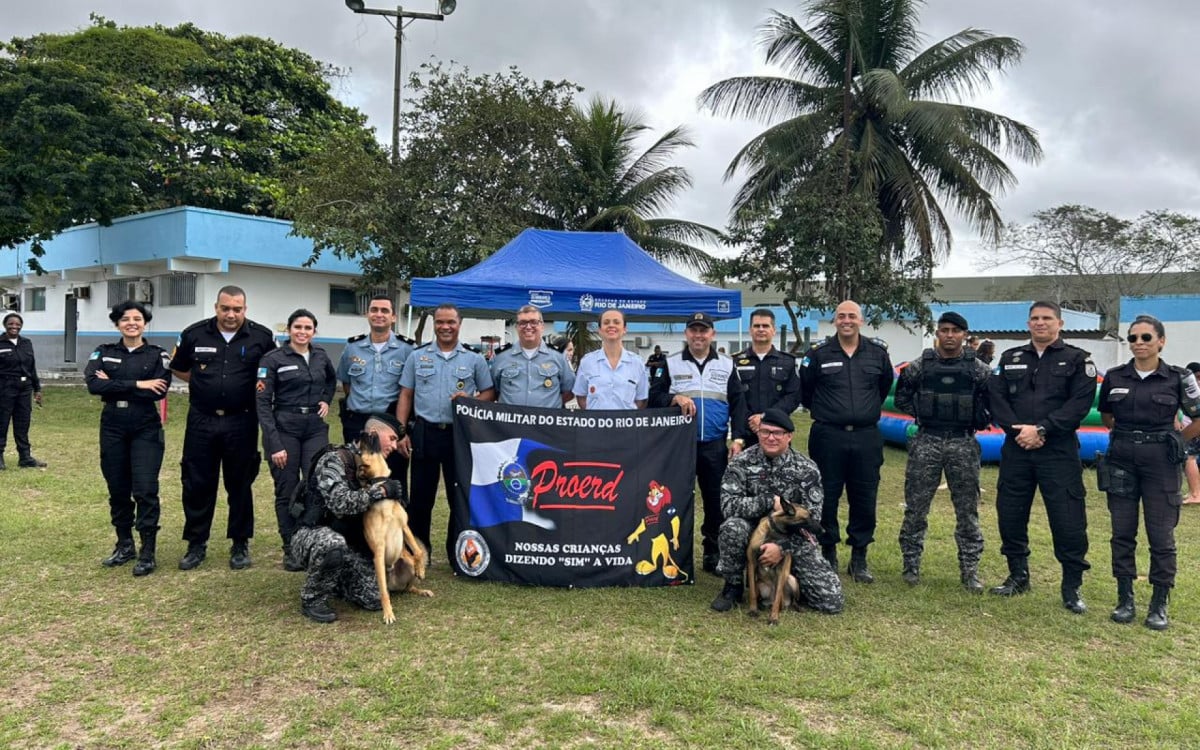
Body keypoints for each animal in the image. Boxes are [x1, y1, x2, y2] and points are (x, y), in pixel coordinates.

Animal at [357, 429, 434, 624]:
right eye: (360, 451)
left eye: (361, 445)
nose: (363, 431)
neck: (384, 496)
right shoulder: (378, 549)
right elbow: (383, 593)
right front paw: (388, 614)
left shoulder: (404, 527)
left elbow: (418, 551)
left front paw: (421, 569)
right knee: (387, 590)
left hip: (404, 562)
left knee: (409, 585)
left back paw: (421, 589)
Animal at [744, 496, 811, 624]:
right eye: (808, 518)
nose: (823, 531)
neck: (775, 533)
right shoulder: (751, 564)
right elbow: (752, 594)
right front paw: (753, 610)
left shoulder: (781, 570)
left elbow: (777, 597)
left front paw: (774, 617)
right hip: (759, 584)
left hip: (791, 580)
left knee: (790, 601)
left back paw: (796, 607)